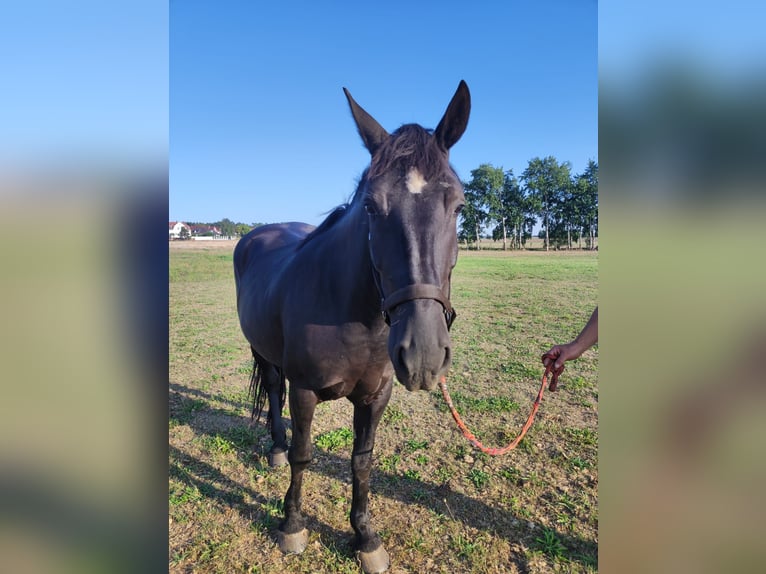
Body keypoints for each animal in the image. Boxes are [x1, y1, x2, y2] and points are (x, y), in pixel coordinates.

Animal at [237, 82, 472, 574]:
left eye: (459, 204)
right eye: (370, 205)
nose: (423, 355)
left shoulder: (375, 395)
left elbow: (362, 462)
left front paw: (365, 537)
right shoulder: (305, 390)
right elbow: (305, 455)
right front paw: (292, 525)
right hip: (264, 352)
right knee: (272, 388)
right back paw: (275, 448)